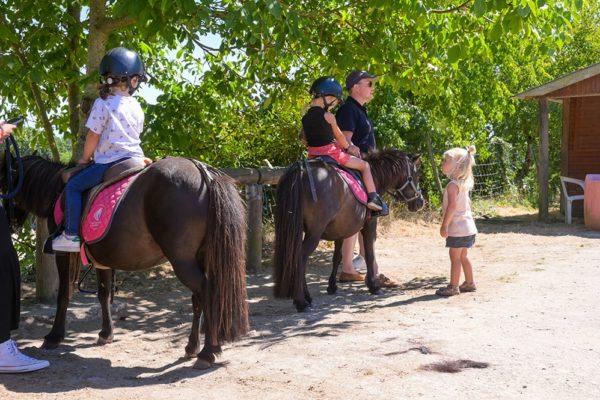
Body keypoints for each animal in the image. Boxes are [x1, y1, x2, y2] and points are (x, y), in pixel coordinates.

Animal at [0, 153, 248, 368]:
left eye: (2, 183)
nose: (9, 225)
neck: (57, 189)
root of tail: (200, 169)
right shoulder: (102, 258)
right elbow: (103, 294)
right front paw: (105, 334)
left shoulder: (65, 255)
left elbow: (64, 294)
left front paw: (54, 336)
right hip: (200, 257)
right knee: (198, 299)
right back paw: (192, 347)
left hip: (183, 261)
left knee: (207, 292)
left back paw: (207, 351)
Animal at [274, 148, 424, 310]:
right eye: (417, 175)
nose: (420, 202)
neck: (374, 176)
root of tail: (300, 171)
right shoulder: (369, 225)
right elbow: (370, 254)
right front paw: (373, 285)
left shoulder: (340, 230)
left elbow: (337, 257)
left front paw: (332, 286)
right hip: (314, 233)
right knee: (300, 258)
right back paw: (301, 301)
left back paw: (306, 297)